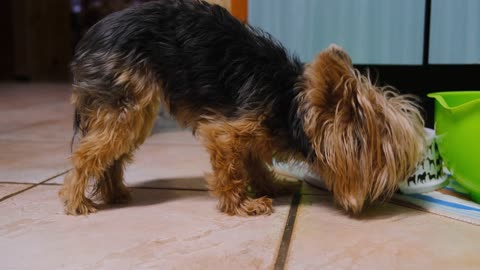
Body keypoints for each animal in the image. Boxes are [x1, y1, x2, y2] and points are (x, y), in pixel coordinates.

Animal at [60, 0, 424, 215]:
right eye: (382, 160)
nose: (385, 194)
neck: (290, 106)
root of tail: (88, 37)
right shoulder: (225, 132)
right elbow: (230, 168)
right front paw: (242, 204)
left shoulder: (253, 133)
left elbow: (254, 160)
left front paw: (272, 186)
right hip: (128, 102)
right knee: (87, 154)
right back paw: (76, 200)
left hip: (132, 108)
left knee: (112, 152)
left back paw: (115, 193)